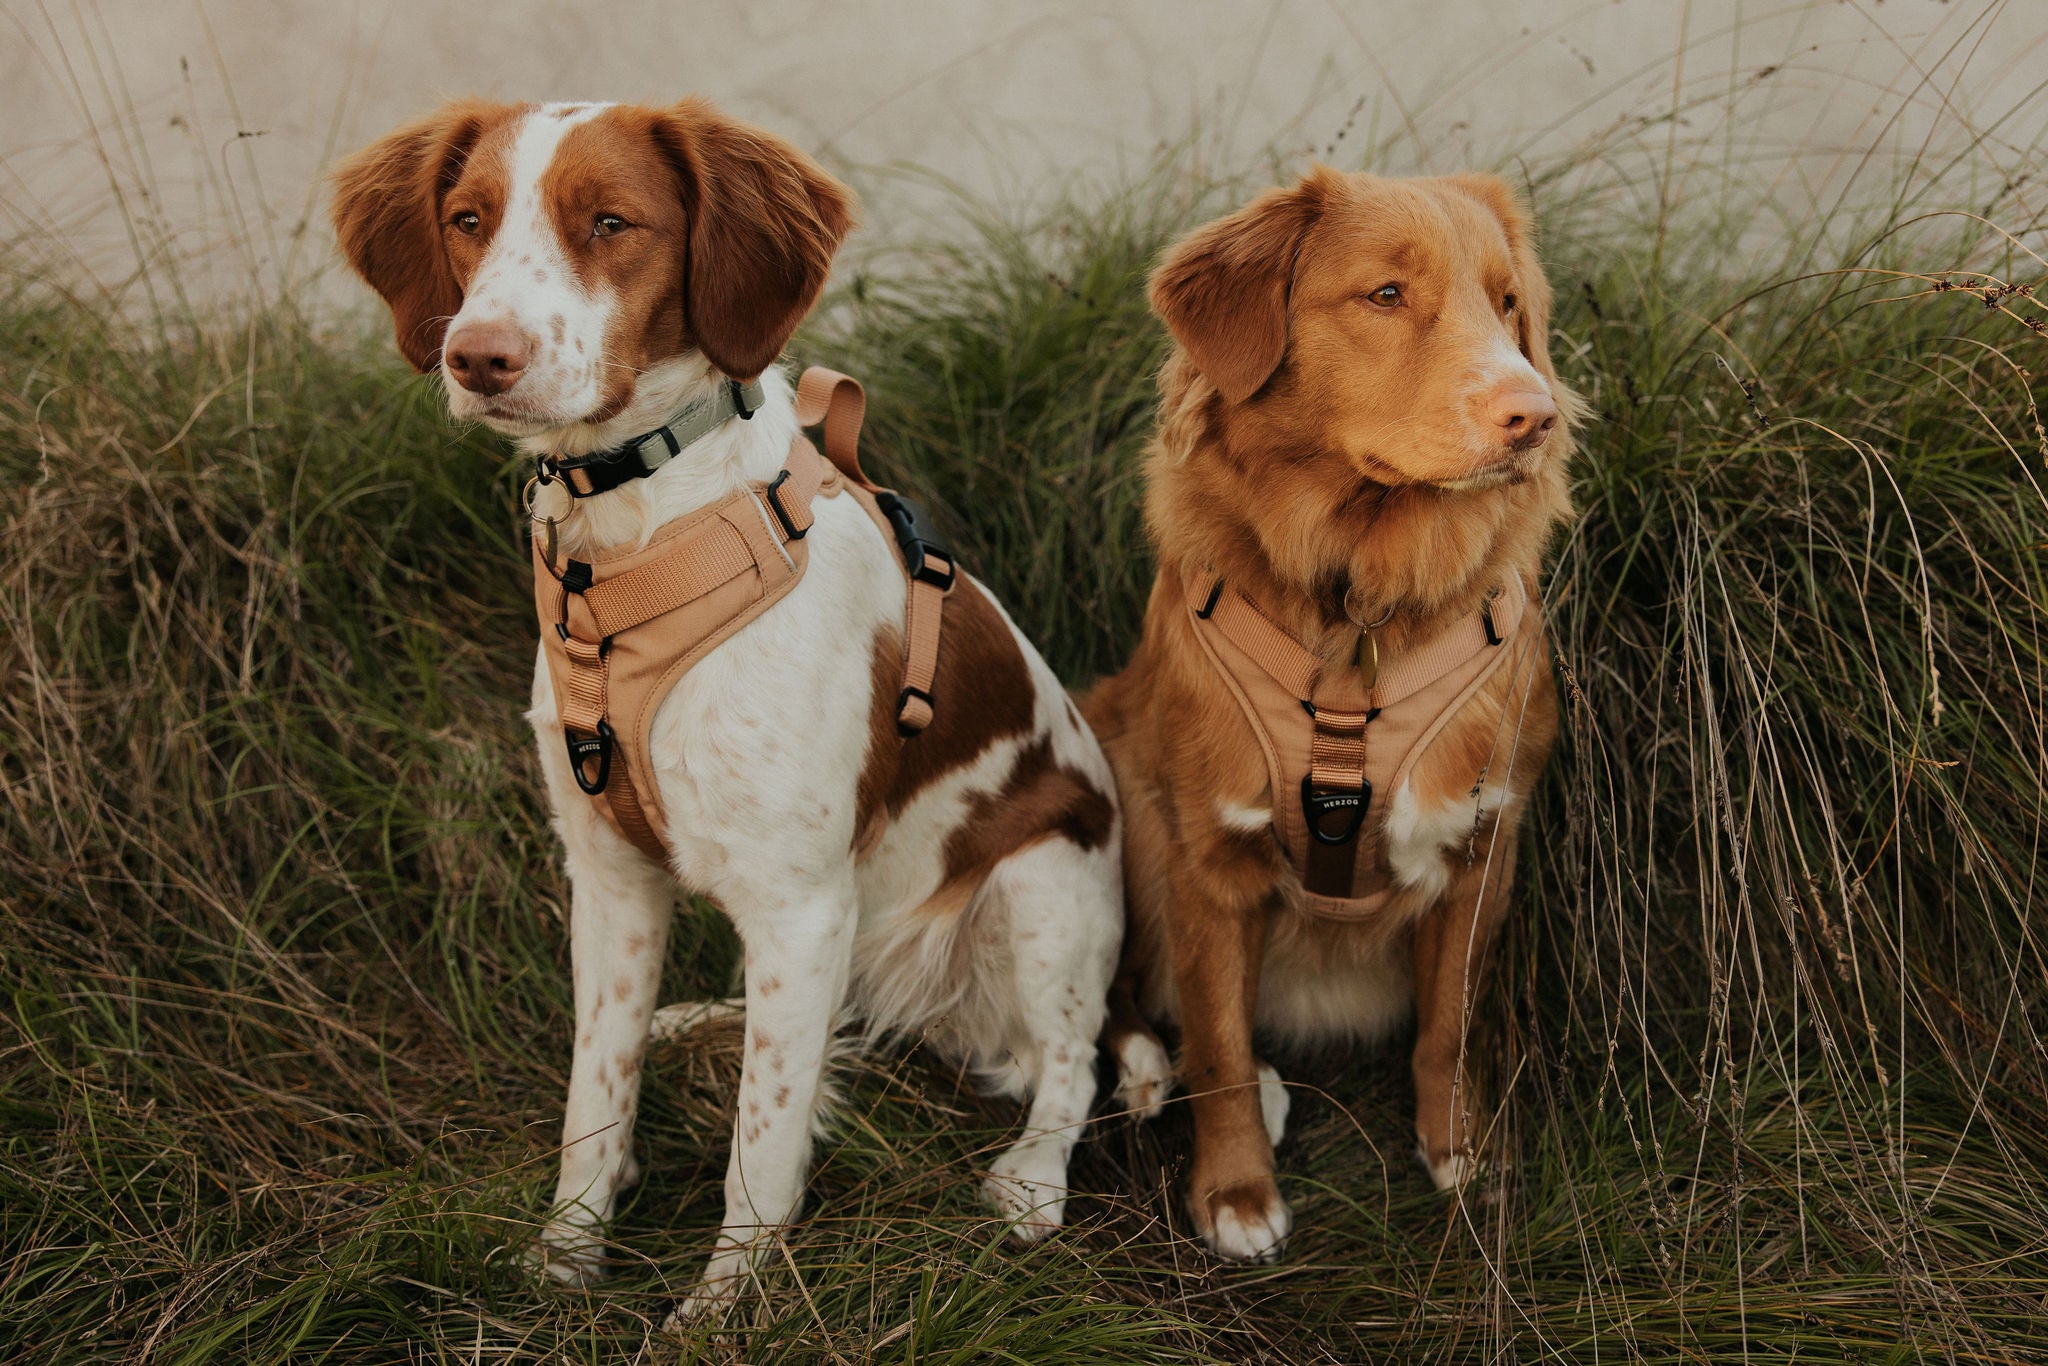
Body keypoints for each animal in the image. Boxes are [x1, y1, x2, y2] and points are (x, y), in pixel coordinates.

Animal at [329, 96, 1122, 1310]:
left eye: (611, 221)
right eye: (467, 219)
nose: (477, 356)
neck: (633, 537)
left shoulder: (799, 903)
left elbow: (763, 1142)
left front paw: (719, 1313)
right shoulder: (611, 877)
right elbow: (594, 1095)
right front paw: (564, 1261)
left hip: (1045, 883)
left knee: (1076, 1066)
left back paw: (1032, 1178)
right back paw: (699, 1018)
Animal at [1097, 167, 1572, 1261]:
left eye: (1507, 305)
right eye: (1385, 296)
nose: (1532, 417)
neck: (1360, 612)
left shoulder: (1484, 845)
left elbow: (1446, 1027)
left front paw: (1458, 1152)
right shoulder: (1206, 858)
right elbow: (1220, 1044)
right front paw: (1234, 1193)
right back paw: (1145, 1069)